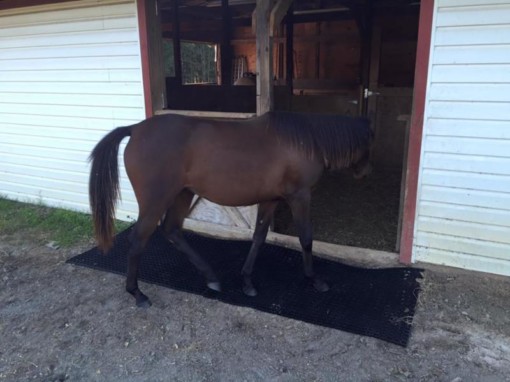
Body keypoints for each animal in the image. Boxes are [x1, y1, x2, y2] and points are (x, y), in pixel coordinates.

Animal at [89, 110, 372, 308]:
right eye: (371, 141)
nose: (363, 172)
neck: (305, 140)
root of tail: (135, 129)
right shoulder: (300, 196)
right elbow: (306, 238)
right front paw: (315, 279)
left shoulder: (270, 200)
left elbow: (259, 237)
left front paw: (247, 281)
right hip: (156, 201)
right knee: (139, 239)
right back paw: (138, 294)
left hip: (183, 194)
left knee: (172, 230)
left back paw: (212, 278)